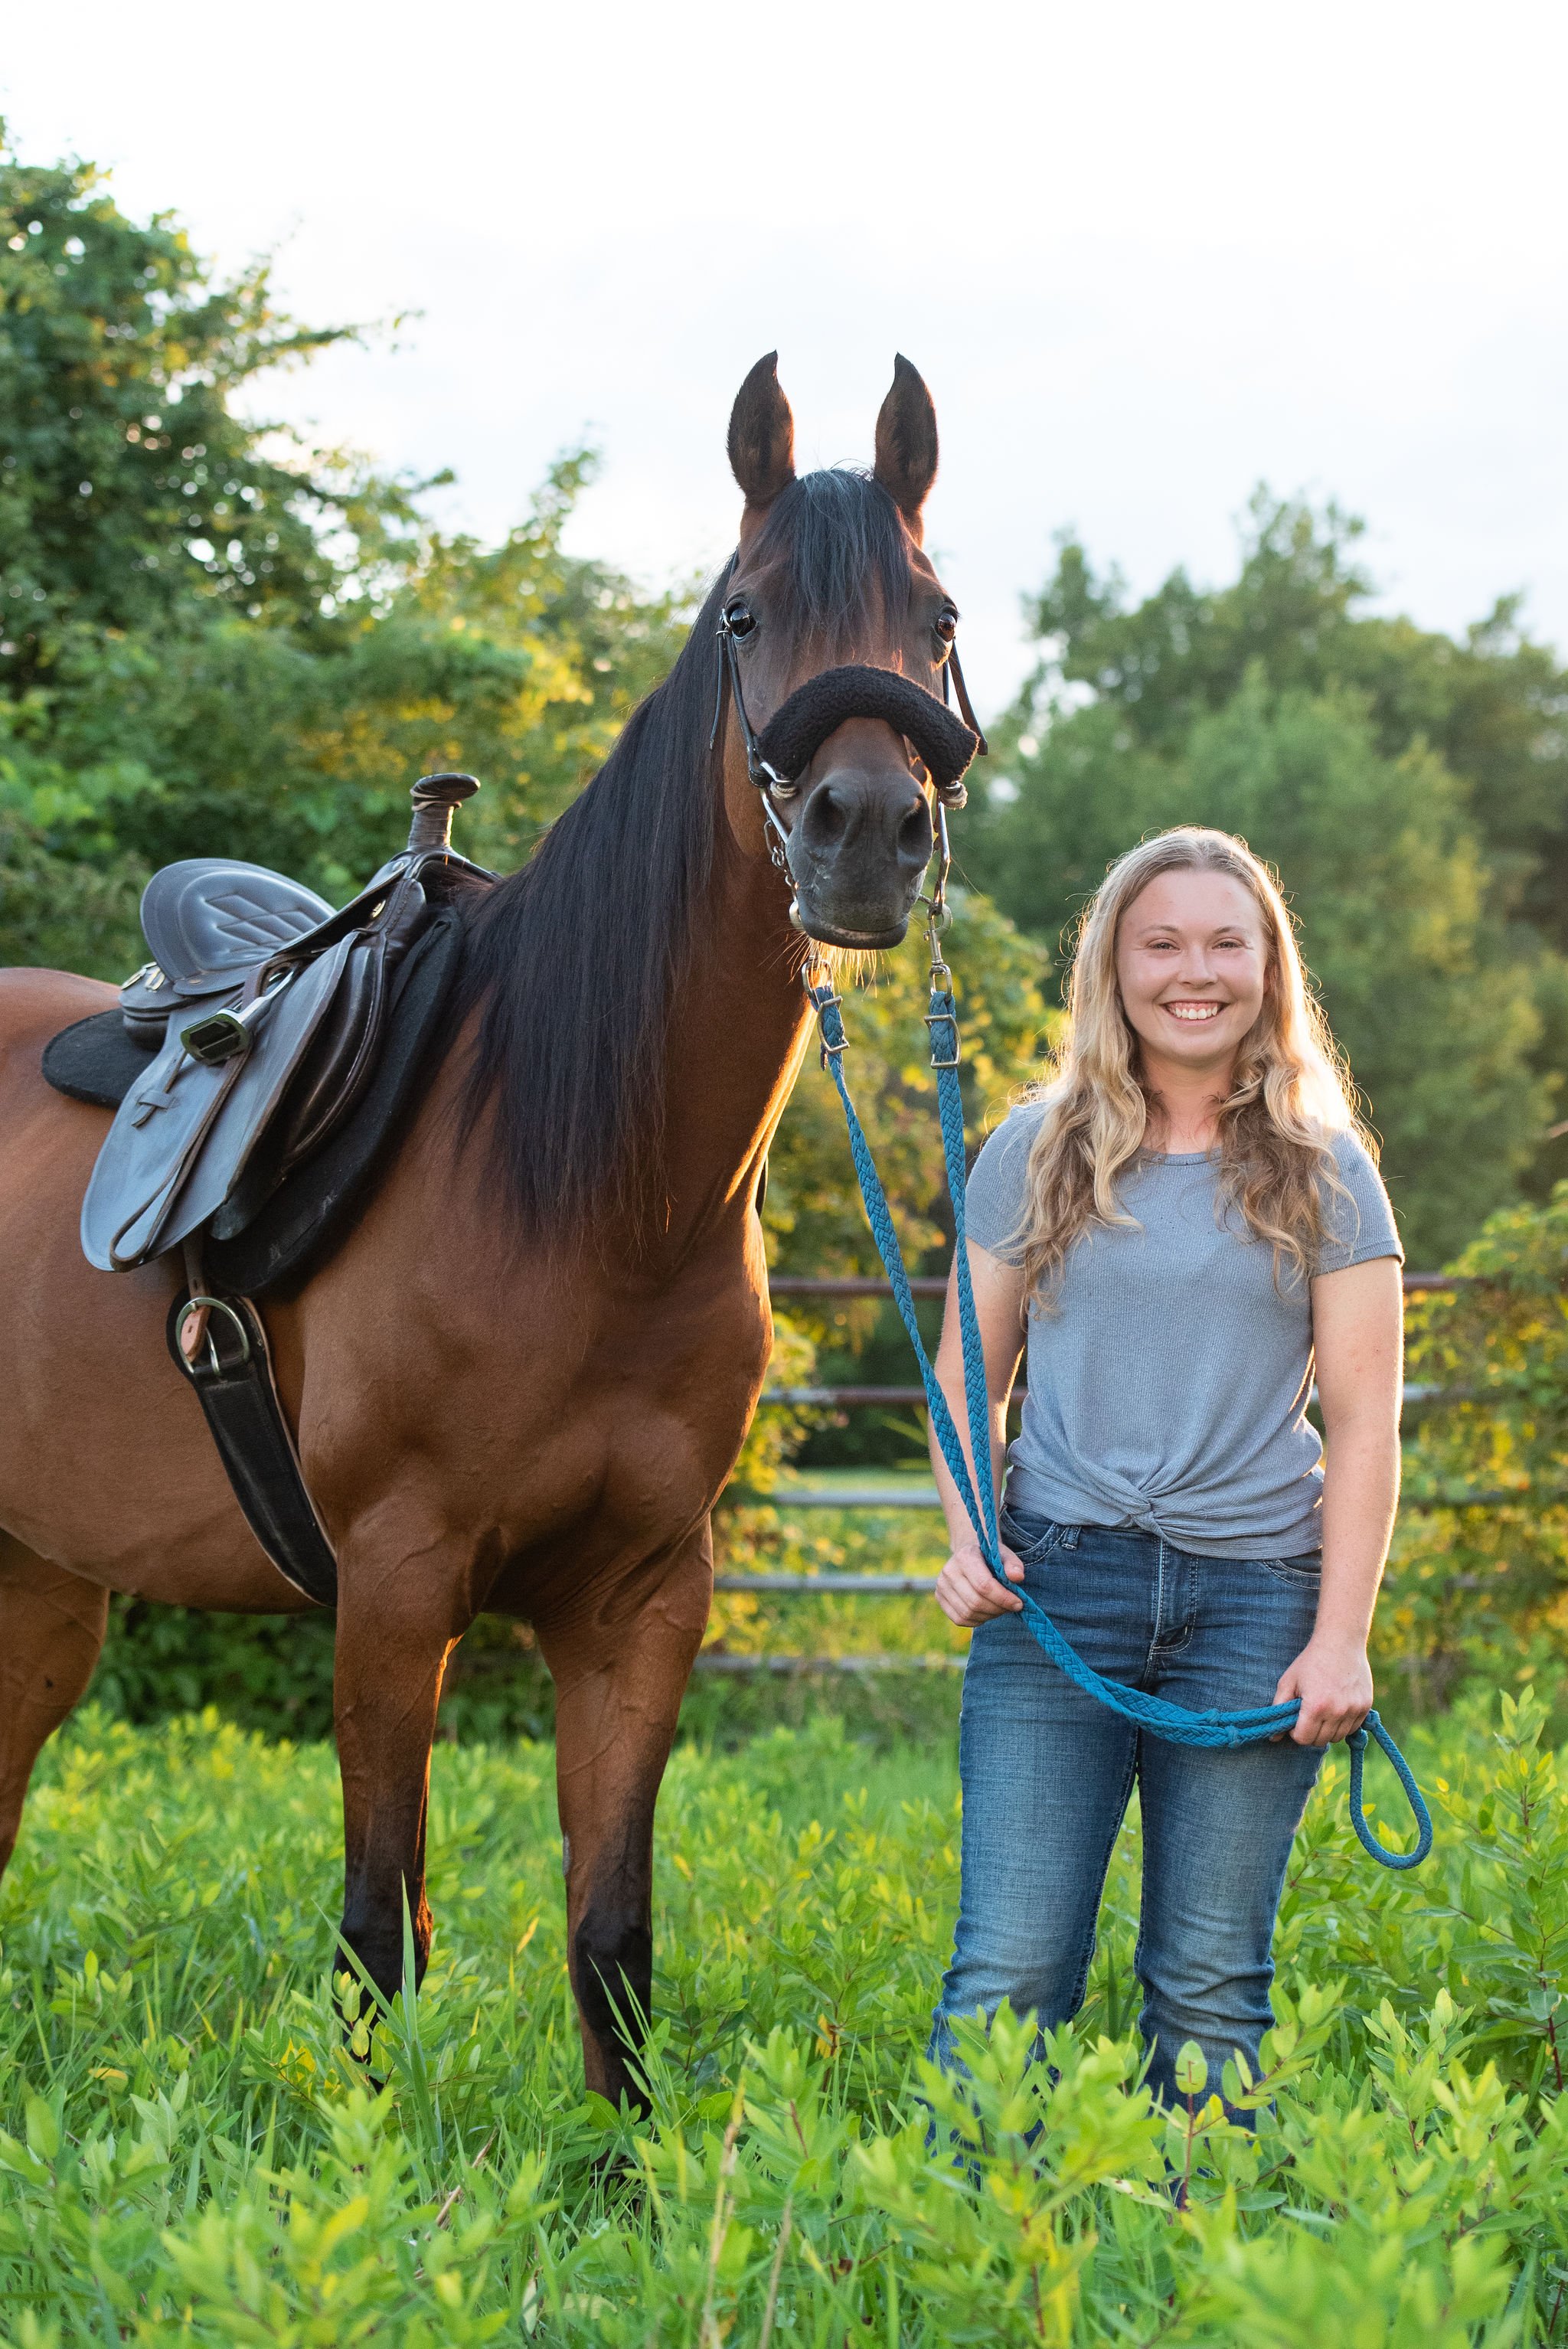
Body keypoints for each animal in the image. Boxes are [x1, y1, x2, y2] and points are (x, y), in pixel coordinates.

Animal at [0, 352, 962, 2114]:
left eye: (933, 617)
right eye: (742, 613)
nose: (866, 828)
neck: (586, 1193)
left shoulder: (641, 1601)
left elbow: (613, 1940)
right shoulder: (394, 1588)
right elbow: (380, 1934)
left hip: (39, 1581)